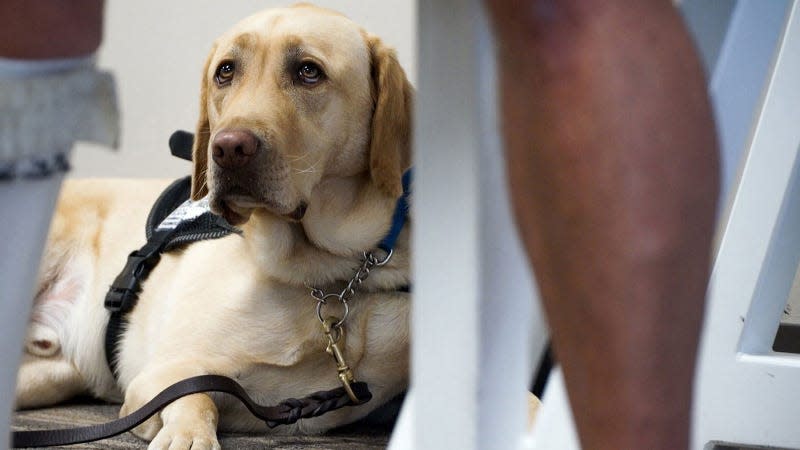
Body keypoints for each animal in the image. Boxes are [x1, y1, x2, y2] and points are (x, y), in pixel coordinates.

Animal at [17, 4, 412, 450]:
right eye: (225, 72)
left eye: (309, 71)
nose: (227, 148)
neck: (331, 274)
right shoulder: (159, 378)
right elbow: (198, 395)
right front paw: (188, 436)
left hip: (51, 375)